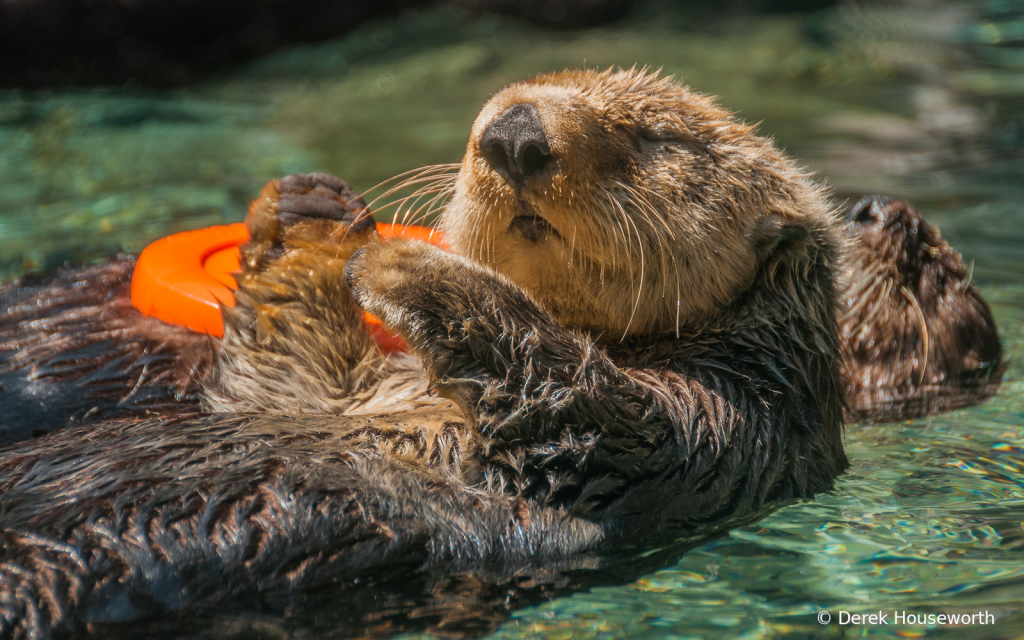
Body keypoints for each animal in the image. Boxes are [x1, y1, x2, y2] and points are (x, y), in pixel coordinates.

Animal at [0, 67, 1003, 634]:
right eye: (498, 112)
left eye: (657, 137)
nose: (514, 132)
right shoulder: (300, 389)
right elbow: (279, 366)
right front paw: (313, 216)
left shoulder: (707, 426)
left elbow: (581, 401)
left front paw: (406, 262)